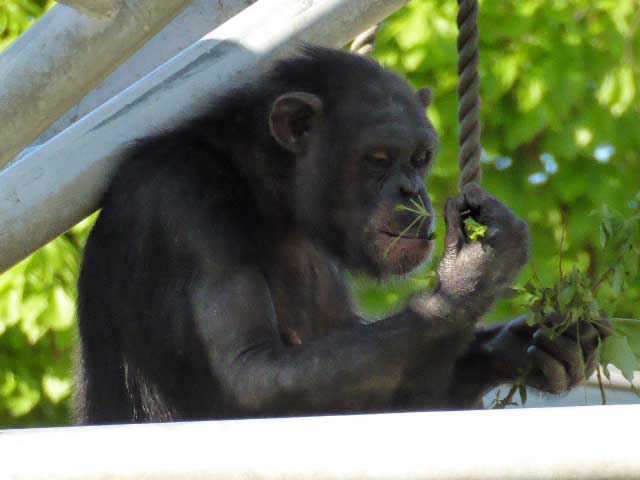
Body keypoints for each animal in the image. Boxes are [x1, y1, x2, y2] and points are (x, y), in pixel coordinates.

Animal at [75, 47, 608, 424]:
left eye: (420, 157)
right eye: (378, 158)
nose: (412, 190)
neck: (268, 194)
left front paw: (541, 345)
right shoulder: (183, 209)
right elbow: (249, 377)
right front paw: (471, 275)